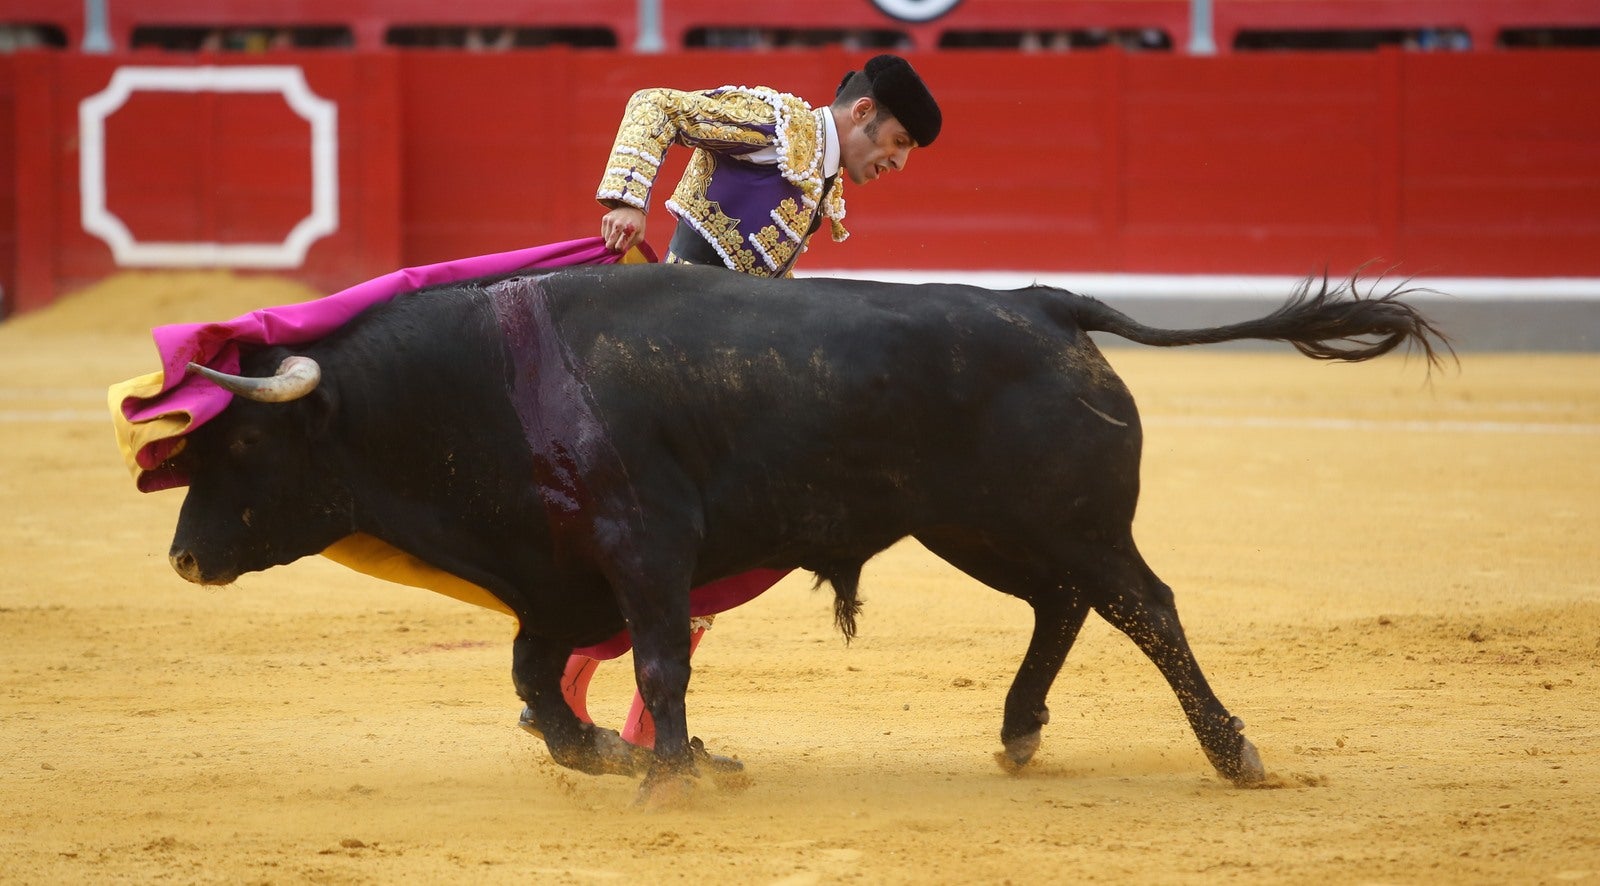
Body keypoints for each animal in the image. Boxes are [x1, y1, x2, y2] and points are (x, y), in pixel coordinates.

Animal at [162, 259, 1452, 796]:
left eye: (243, 446)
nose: (181, 555)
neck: (479, 384)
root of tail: (1043, 302)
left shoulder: (645, 546)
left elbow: (658, 662)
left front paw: (672, 773)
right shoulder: (555, 579)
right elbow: (539, 684)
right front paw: (626, 754)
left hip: (1064, 518)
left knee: (1147, 605)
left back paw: (1233, 754)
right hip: (977, 530)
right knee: (1067, 604)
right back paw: (1019, 731)